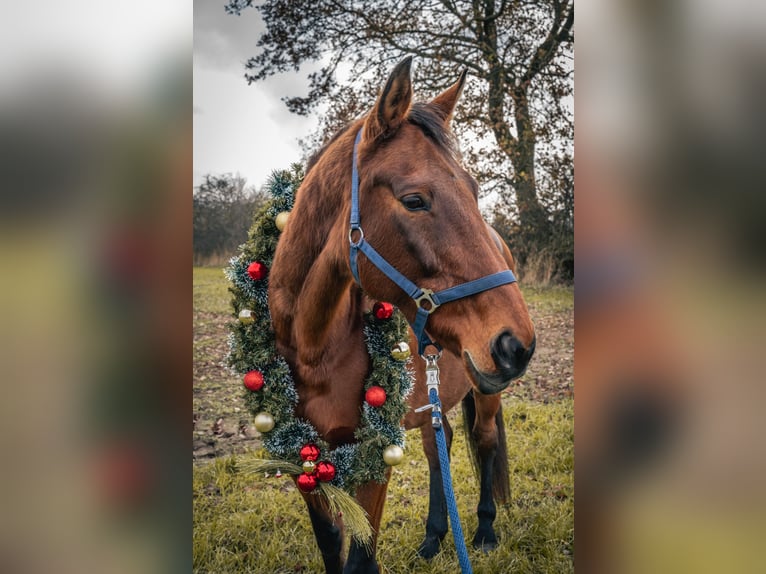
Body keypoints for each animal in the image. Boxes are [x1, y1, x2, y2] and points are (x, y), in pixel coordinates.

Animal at [268, 56, 536, 572]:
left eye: (474, 191)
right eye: (414, 200)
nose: (518, 344)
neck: (314, 348)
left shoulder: (376, 456)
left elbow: (361, 559)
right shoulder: (301, 459)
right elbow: (331, 544)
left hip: (487, 393)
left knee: (485, 442)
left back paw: (485, 531)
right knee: (441, 443)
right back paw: (433, 538)